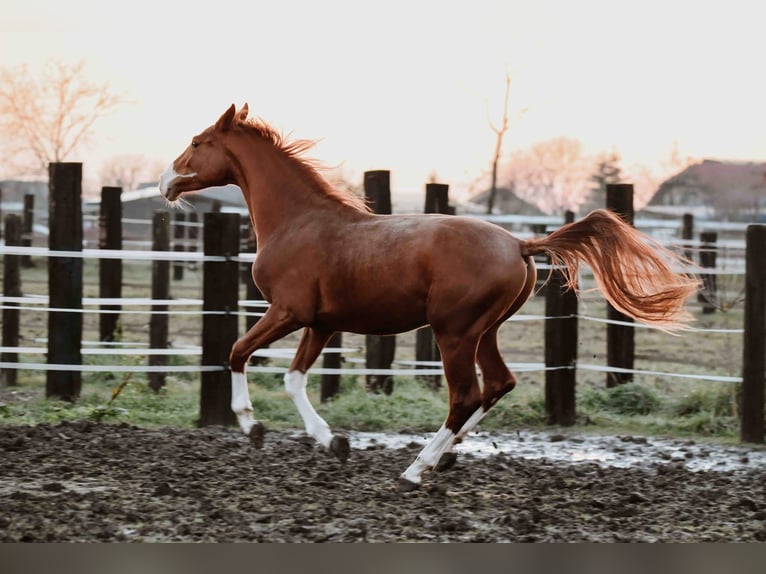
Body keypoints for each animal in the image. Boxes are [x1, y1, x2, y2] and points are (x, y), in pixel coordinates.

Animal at [159, 103, 700, 490]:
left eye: (197, 142)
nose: (166, 181)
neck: (298, 221)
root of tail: (519, 244)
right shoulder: (321, 323)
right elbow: (293, 380)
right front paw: (332, 442)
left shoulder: (288, 311)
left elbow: (237, 351)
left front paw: (251, 426)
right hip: (485, 332)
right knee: (498, 384)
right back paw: (445, 457)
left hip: (453, 333)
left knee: (466, 395)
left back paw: (417, 469)